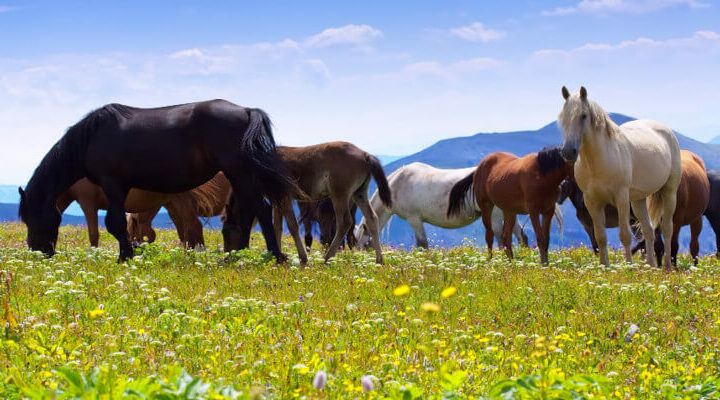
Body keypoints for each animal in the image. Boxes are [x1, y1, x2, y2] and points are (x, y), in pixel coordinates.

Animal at [19, 100, 296, 262]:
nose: (38, 251)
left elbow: (114, 223)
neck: (91, 138)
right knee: (251, 212)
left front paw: (125, 257)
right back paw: (238, 256)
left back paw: (276, 256)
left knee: (261, 210)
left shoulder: (112, 184)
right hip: (240, 175)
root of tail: (247, 111)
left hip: (239, 172)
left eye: (31, 217)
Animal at [250, 142, 390, 264]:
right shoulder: (276, 199)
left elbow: (292, 225)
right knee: (372, 218)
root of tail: (365, 155)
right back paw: (379, 261)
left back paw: (327, 258)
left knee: (344, 222)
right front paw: (279, 258)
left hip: (340, 195)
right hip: (359, 193)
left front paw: (302, 259)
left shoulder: (285, 197)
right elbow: (277, 227)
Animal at [354, 161, 528, 248]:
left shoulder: (414, 220)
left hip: (495, 217)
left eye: (364, 245)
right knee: (521, 237)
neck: (397, 184)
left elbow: (422, 244)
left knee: (502, 241)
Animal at [444, 147, 572, 266]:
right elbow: (540, 239)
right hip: (487, 206)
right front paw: (543, 265)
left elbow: (546, 240)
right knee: (489, 235)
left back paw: (510, 263)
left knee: (506, 237)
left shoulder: (548, 211)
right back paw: (490, 261)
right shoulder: (534, 211)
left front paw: (546, 264)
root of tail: (478, 168)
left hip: (509, 210)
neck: (542, 175)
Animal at [556, 86, 680, 268]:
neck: (598, 161)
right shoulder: (592, 201)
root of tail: (667, 131)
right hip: (638, 200)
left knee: (666, 228)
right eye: (563, 116)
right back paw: (650, 266)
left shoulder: (621, 197)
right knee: (648, 230)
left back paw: (666, 268)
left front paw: (628, 267)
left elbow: (624, 236)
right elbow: (600, 238)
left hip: (669, 192)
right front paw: (605, 268)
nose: (568, 152)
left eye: (583, 115)